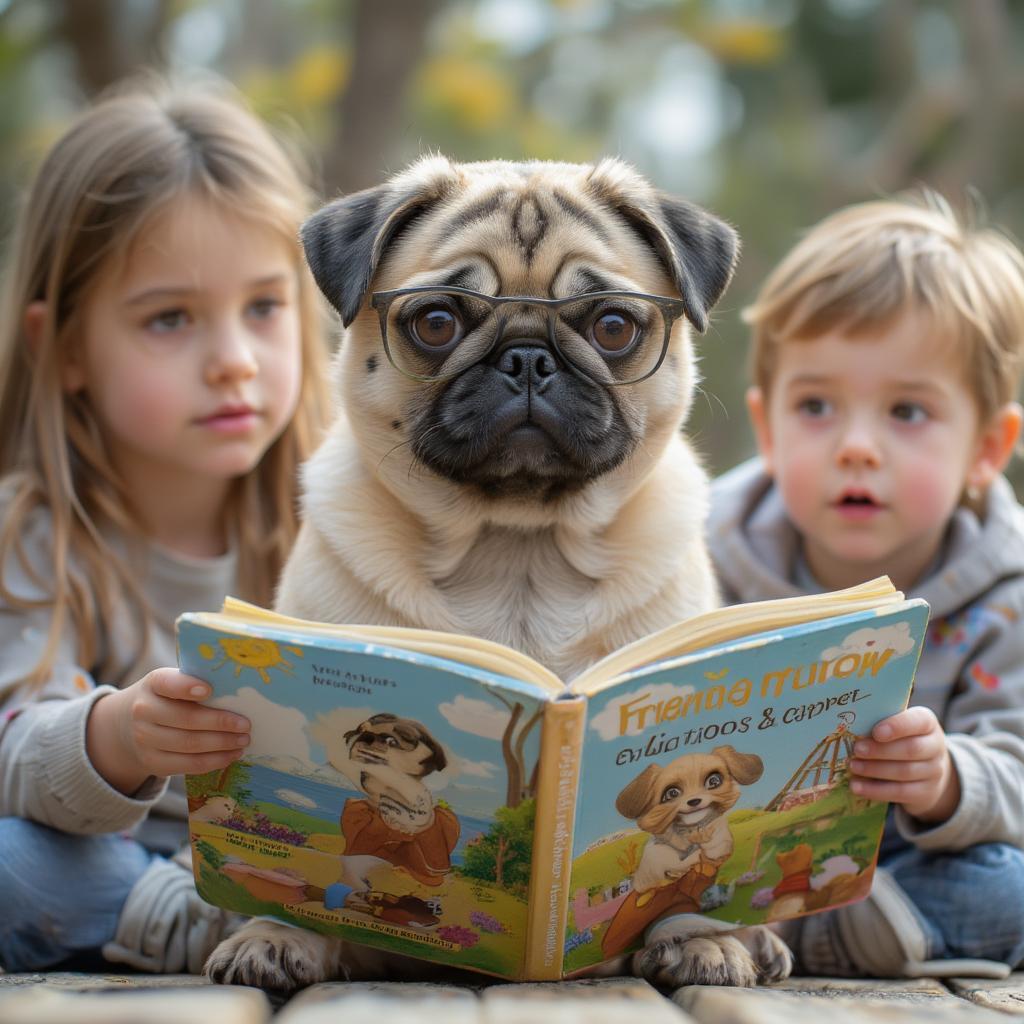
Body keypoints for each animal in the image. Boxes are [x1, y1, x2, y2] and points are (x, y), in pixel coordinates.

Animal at [201, 155, 790, 987]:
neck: (519, 550)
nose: (528, 358)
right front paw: (273, 932)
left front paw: (702, 937)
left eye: (613, 327)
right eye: (436, 323)